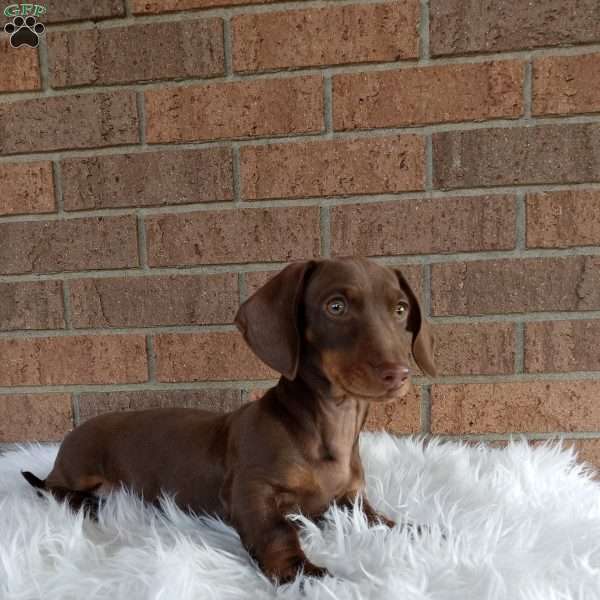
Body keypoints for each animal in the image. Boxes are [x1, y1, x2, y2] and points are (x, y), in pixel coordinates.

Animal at [23, 258, 436, 580]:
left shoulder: (352, 502)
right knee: (49, 487)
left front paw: (424, 531)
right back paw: (85, 503)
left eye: (400, 310)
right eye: (336, 307)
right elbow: (277, 532)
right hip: (77, 468)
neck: (330, 423)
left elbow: (384, 522)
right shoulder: (249, 492)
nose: (398, 374)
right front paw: (302, 573)